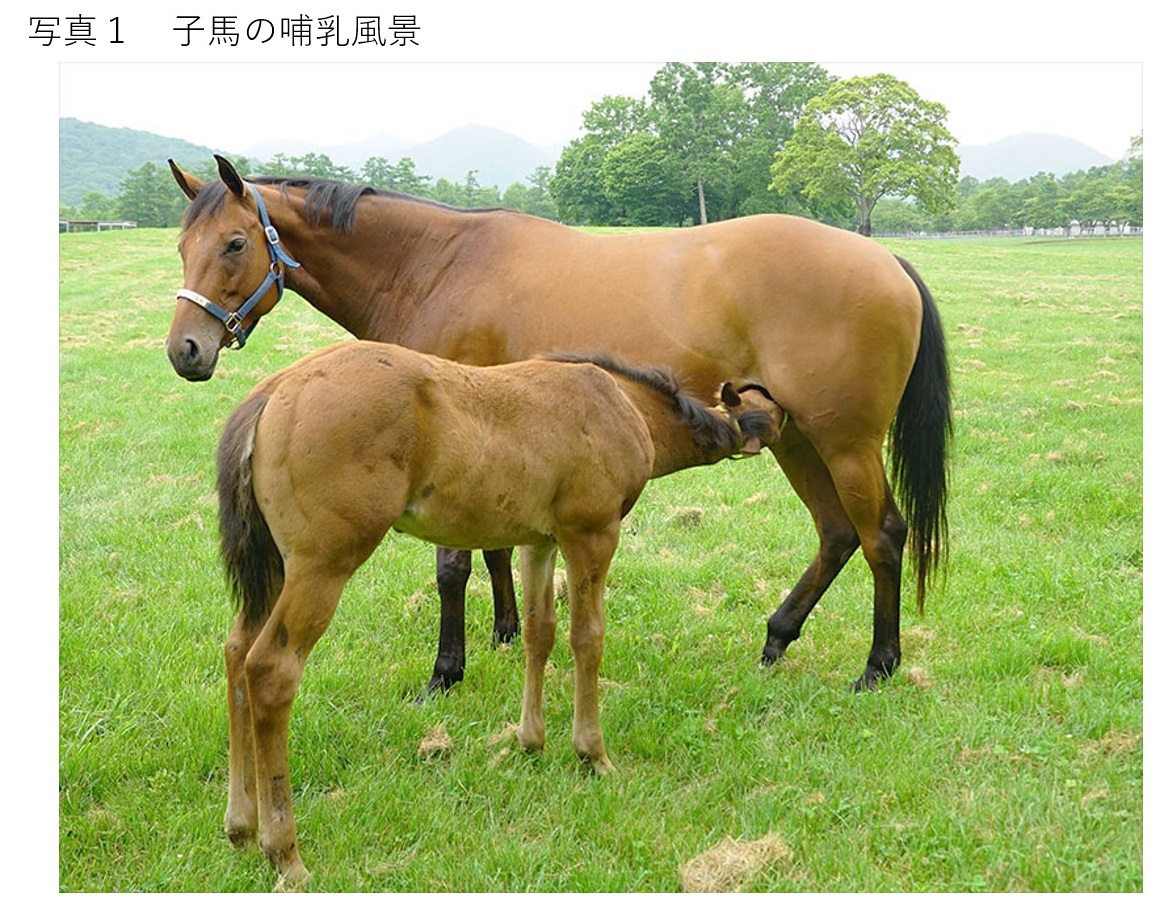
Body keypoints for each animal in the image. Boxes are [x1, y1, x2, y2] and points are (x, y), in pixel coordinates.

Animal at [168, 154, 951, 694]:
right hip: (794, 435)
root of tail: (885, 258)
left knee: (882, 536)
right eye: (181, 247)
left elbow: (453, 566)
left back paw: (878, 665)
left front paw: (446, 670)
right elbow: (490, 549)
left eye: (235, 243)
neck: (435, 267)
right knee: (837, 533)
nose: (186, 350)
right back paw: (777, 637)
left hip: (845, 443)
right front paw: (505, 631)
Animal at [215, 340, 786, 887]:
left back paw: (241, 826)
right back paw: (284, 852)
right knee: (270, 670)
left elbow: (539, 631)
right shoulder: (592, 534)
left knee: (237, 653)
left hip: (274, 569)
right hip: (323, 565)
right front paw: (592, 753)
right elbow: (587, 638)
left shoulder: (540, 542)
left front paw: (530, 741)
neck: (624, 405)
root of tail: (273, 392)